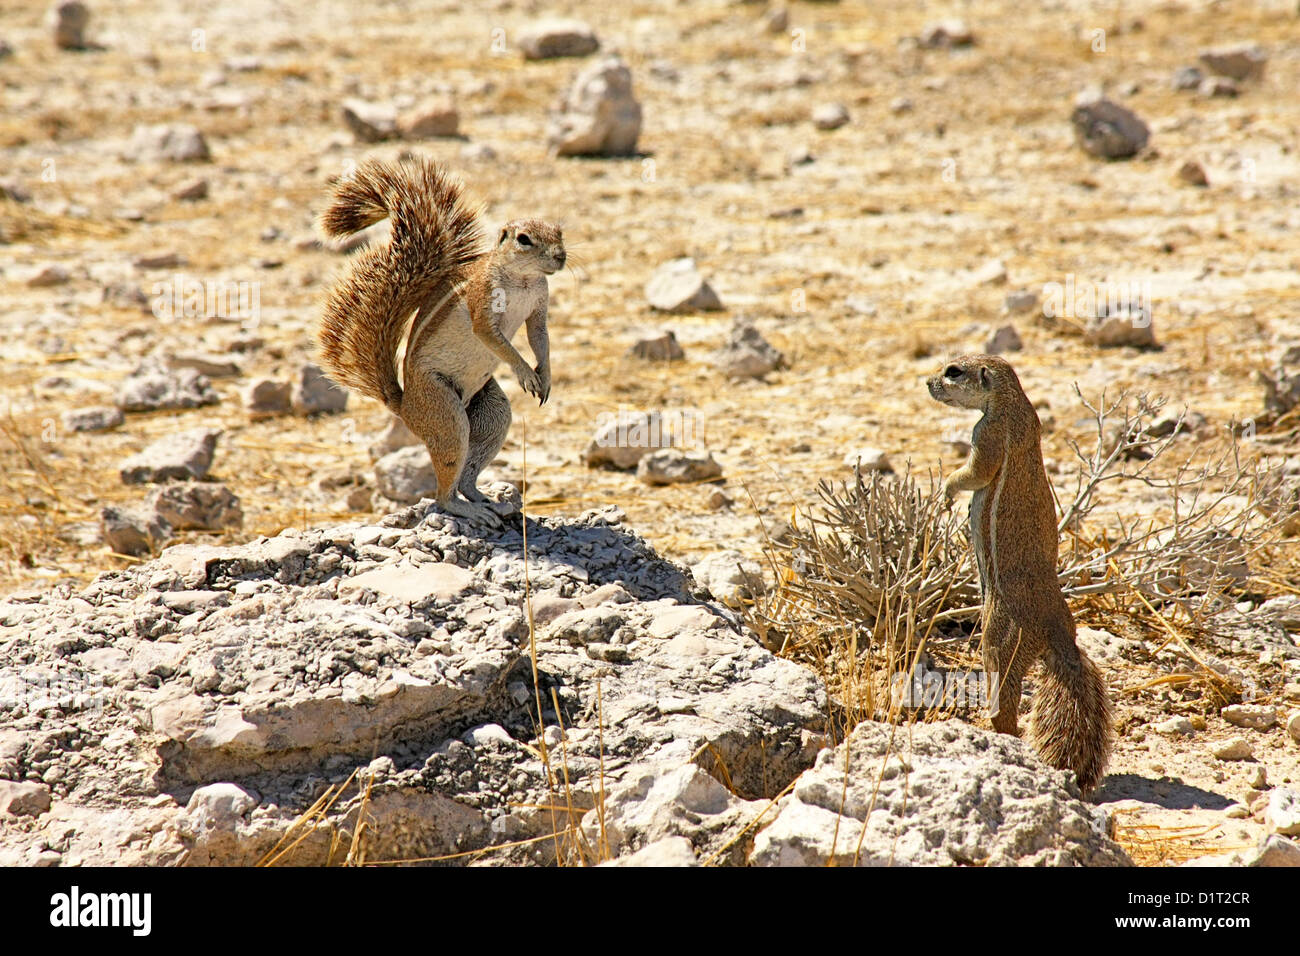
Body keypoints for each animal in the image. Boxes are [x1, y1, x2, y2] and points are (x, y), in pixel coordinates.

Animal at [314, 158, 564, 530]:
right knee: (444, 494)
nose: (561, 257)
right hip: (446, 416)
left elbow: (539, 338)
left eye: (560, 232)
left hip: (492, 412)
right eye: (524, 239)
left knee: (466, 477)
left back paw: (488, 501)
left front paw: (544, 377)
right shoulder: (482, 303)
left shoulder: (538, 308)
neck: (524, 280)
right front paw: (525, 373)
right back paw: (470, 510)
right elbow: (494, 339)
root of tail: (404, 406)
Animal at [930, 353, 1112, 790]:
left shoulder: (988, 435)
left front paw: (947, 491)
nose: (928, 383)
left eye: (953, 371)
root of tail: (1059, 635)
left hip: (999, 639)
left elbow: (974, 473)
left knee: (1005, 699)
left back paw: (992, 733)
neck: (1013, 404)